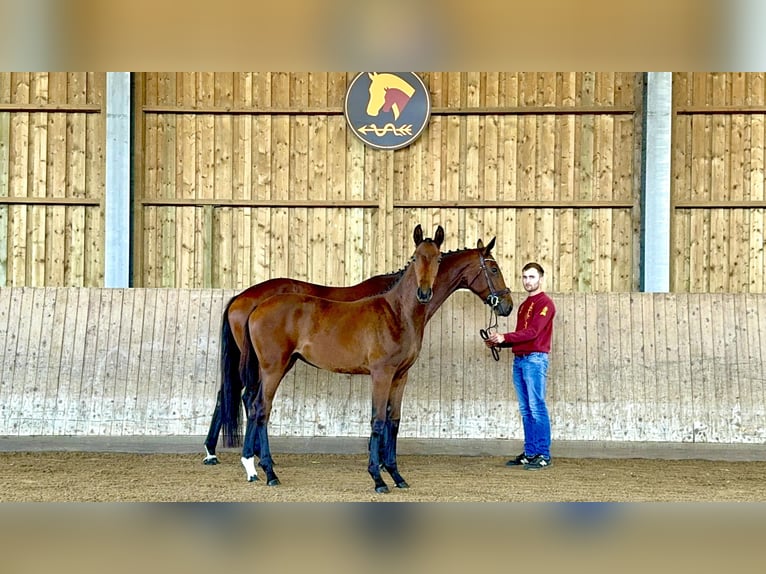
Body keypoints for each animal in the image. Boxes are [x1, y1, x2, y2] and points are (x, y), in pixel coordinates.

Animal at [224, 225, 514, 493]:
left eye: (439, 259)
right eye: (494, 269)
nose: (507, 305)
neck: (397, 312)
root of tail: (256, 305)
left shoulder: (400, 376)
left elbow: (393, 422)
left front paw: (396, 475)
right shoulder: (381, 375)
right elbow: (378, 421)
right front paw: (378, 478)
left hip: (276, 367)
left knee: (254, 406)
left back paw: (252, 467)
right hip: (273, 368)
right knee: (261, 409)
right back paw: (268, 471)